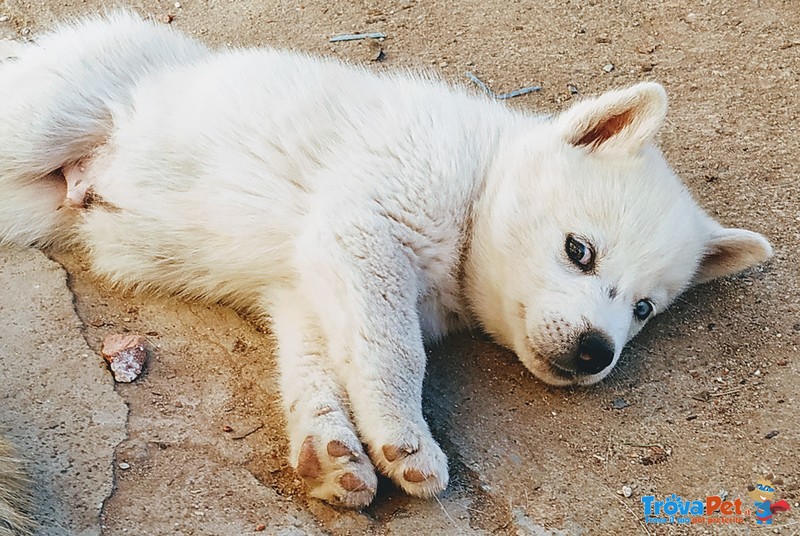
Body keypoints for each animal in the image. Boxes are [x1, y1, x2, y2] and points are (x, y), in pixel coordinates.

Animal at [0, 12, 776, 506]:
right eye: (578, 251)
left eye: (643, 310)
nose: (595, 352)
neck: (475, 184)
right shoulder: (364, 231)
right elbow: (393, 351)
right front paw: (404, 439)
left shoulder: (308, 284)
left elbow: (320, 369)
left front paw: (331, 453)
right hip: (40, 123)